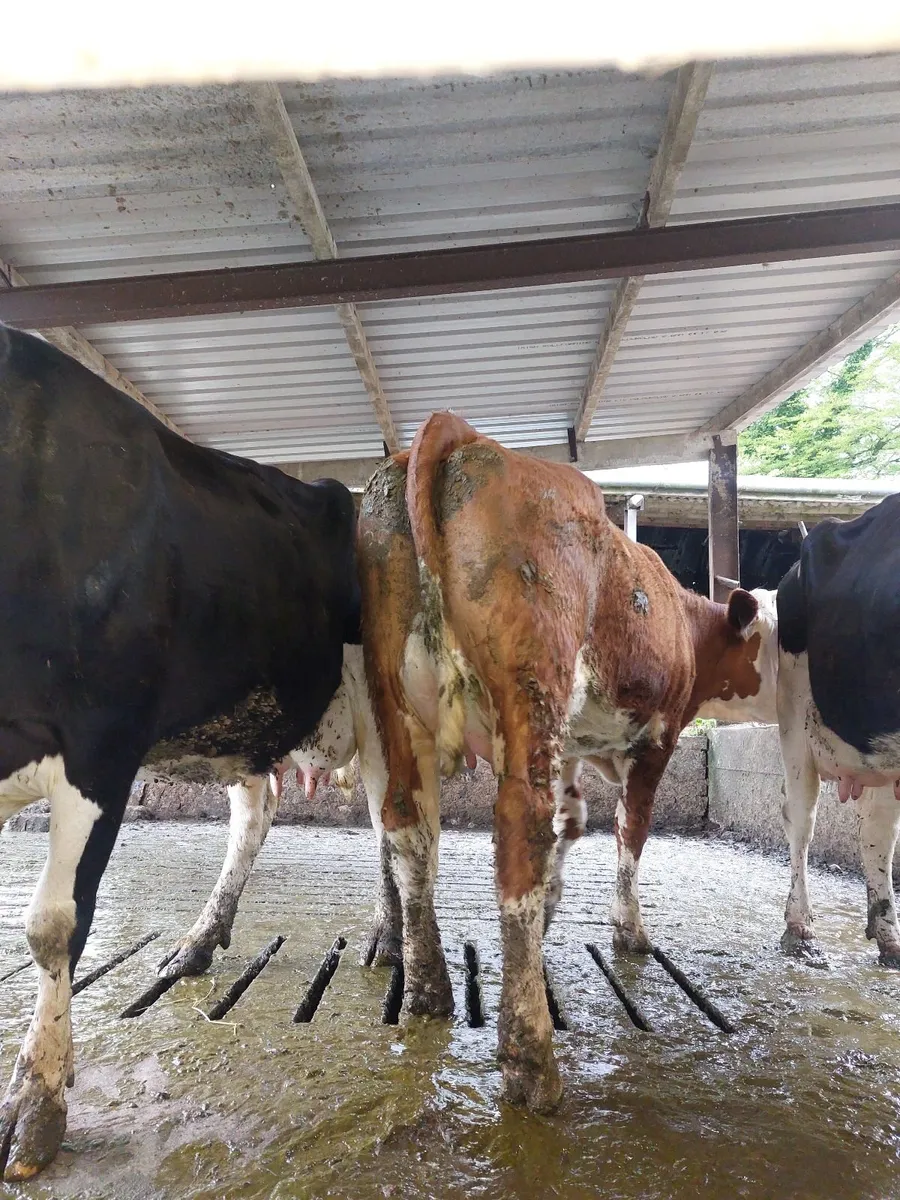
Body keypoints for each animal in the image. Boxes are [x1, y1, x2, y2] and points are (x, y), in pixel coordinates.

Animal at [173, 412, 775, 1113]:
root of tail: (459, 435)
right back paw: (529, 1057)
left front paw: (554, 908)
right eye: (767, 638)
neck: (681, 618)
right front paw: (628, 933)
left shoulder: (572, 747)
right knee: (516, 829)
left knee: (403, 825)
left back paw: (423, 988)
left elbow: (573, 823)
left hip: (393, 701)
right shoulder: (658, 737)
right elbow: (629, 831)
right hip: (527, 687)